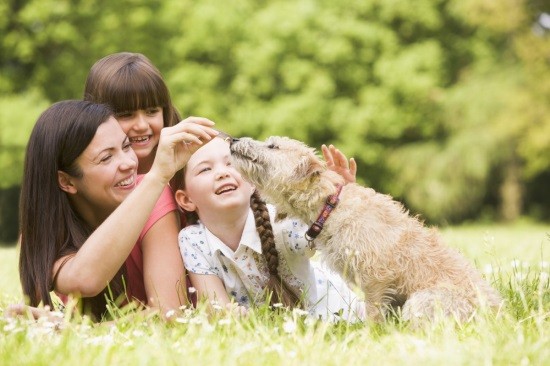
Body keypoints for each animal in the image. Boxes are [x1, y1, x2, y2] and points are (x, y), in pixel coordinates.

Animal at [231, 137, 506, 324]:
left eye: (272, 146)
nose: (233, 140)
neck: (330, 205)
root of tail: (498, 313)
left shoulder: (376, 276)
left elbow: (373, 313)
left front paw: (370, 336)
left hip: (421, 300)